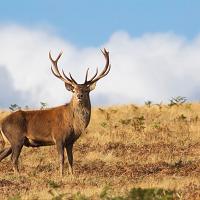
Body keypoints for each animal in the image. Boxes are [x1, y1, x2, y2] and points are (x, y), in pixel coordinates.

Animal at [0, 48, 111, 177]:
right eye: (74, 90)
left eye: (86, 90)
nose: (79, 96)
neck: (74, 125)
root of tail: (2, 123)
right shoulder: (58, 137)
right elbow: (61, 158)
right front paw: (61, 176)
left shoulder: (70, 142)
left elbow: (71, 159)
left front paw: (72, 175)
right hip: (17, 138)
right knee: (13, 158)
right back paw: (19, 175)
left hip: (9, 143)